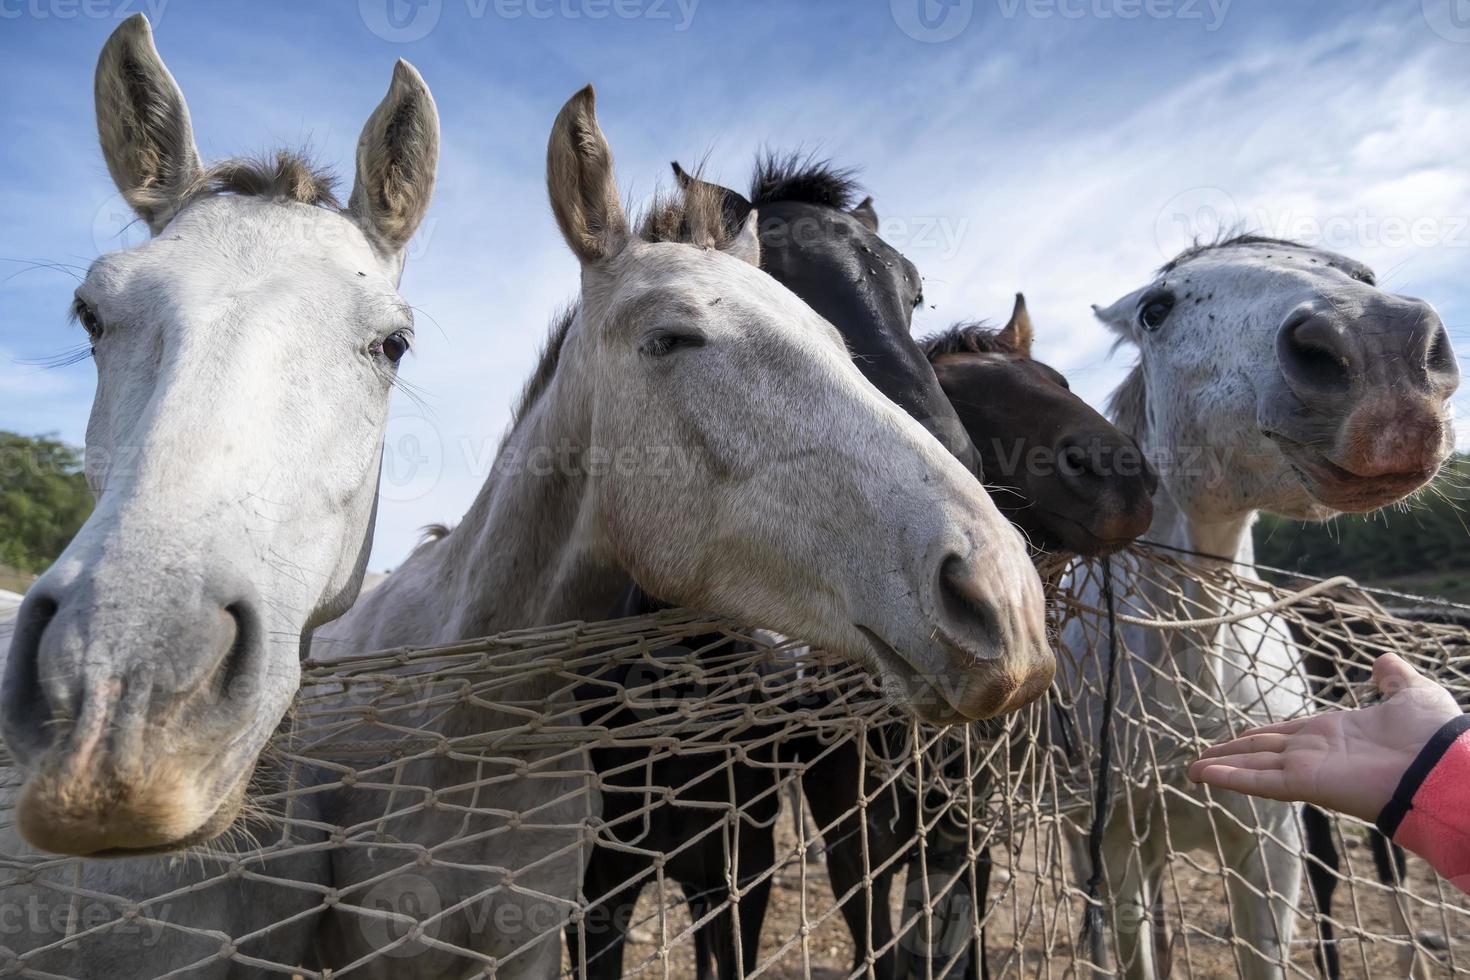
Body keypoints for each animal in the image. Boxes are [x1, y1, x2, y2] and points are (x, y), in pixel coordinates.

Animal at [1064, 233, 1464, 975]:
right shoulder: (1119, 845)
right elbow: (1135, 949)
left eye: (1362, 275)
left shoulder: (1272, 849)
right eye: (1155, 311)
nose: (1378, 345)